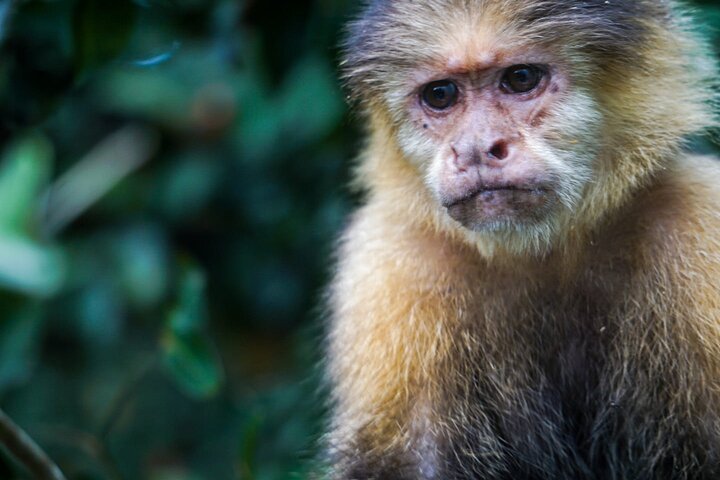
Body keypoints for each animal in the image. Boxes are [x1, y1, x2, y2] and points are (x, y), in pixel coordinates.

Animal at [323, 0, 720, 479]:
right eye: (441, 95)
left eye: (521, 79)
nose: (476, 148)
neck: (546, 252)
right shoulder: (390, 262)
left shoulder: (698, 222)